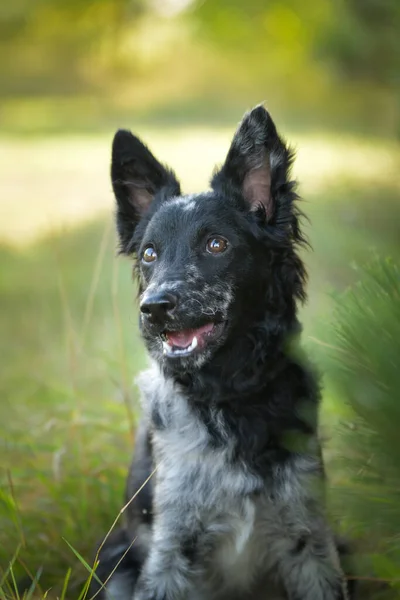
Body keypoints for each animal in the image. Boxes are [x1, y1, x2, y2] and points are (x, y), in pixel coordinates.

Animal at [91, 106, 354, 600]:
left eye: (217, 244)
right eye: (150, 253)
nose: (153, 308)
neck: (230, 399)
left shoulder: (308, 538)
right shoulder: (170, 548)